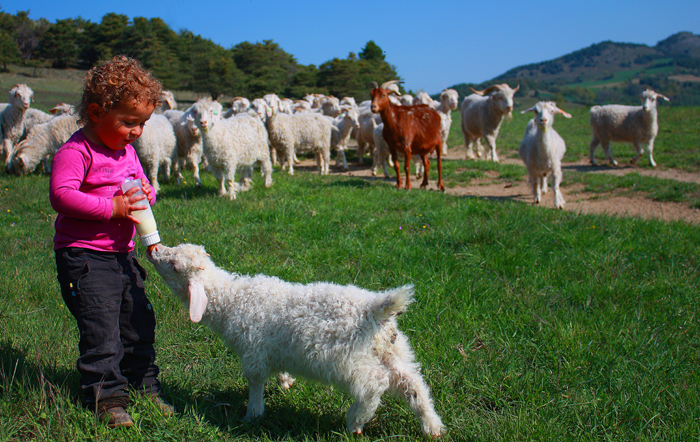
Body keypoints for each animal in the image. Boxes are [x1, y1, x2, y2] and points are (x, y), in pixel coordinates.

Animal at [147, 243, 442, 436]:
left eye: (175, 266)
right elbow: (278, 369)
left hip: (347, 360)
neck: (233, 300)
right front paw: (286, 381)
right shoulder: (272, 349)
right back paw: (432, 427)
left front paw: (252, 415)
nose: (154, 250)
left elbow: (255, 381)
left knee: (375, 384)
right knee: (413, 384)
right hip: (392, 351)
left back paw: (356, 422)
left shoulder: (254, 352)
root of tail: (375, 308)